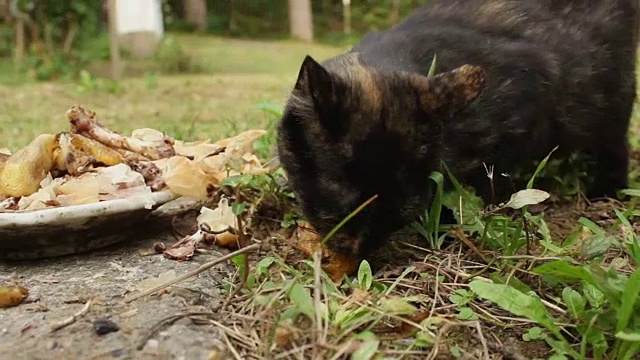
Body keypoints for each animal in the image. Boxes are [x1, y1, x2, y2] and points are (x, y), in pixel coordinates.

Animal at [276, 0, 640, 258]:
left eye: (402, 210)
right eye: (339, 197)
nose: (360, 250)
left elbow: (492, 179)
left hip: (610, 100)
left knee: (615, 144)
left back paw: (606, 190)